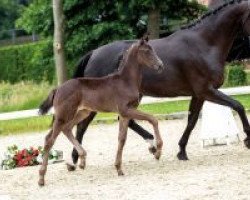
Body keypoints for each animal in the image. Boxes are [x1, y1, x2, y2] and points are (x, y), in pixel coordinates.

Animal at [37, 38, 164, 186]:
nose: (160, 66)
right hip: (64, 115)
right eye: (147, 51)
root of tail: (57, 89)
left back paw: (82, 159)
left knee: (67, 129)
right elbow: (153, 119)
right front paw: (158, 151)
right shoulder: (126, 110)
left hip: (82, 113)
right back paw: (41, 178)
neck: (125, 81)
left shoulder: (125, 114)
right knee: (50, 139)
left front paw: (119, 168)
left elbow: (122, 139)